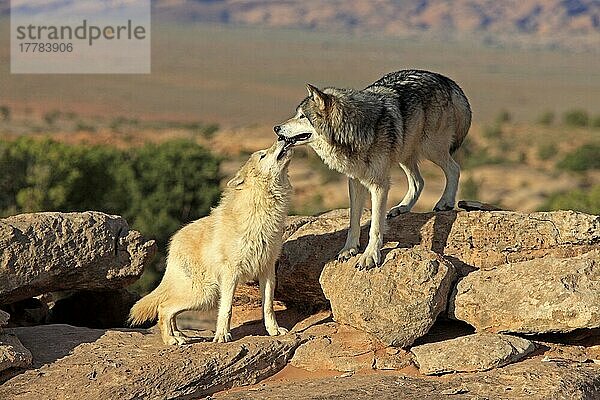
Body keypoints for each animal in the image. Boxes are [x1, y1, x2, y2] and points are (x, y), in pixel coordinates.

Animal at [129, 141, 292, 344]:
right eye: (262, 155)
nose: (283, 139)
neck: (261, 210)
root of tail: (173, 242)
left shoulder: (268, 270)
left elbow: (268, 306)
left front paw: (274, 330)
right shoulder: (231, 273)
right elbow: (226, 309)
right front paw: (222, 335)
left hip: (205, 295)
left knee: (170, 310)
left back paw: (179, 335)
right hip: (204, 294)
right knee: (164, 308)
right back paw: (171, 340)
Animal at [274, 69, 472, 268]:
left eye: (302, 116)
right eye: (297, 114)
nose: (276, 128)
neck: (354, 131)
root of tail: (444, 78)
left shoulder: (379, 185)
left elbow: (375, 226)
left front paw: (370, 255)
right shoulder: (355, 182)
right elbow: (353, 221)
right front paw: (349, 249)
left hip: (431, 148)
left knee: (454, 169)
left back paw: (445, 202)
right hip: (405, 153)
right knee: (419, 182)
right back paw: (402, 207)